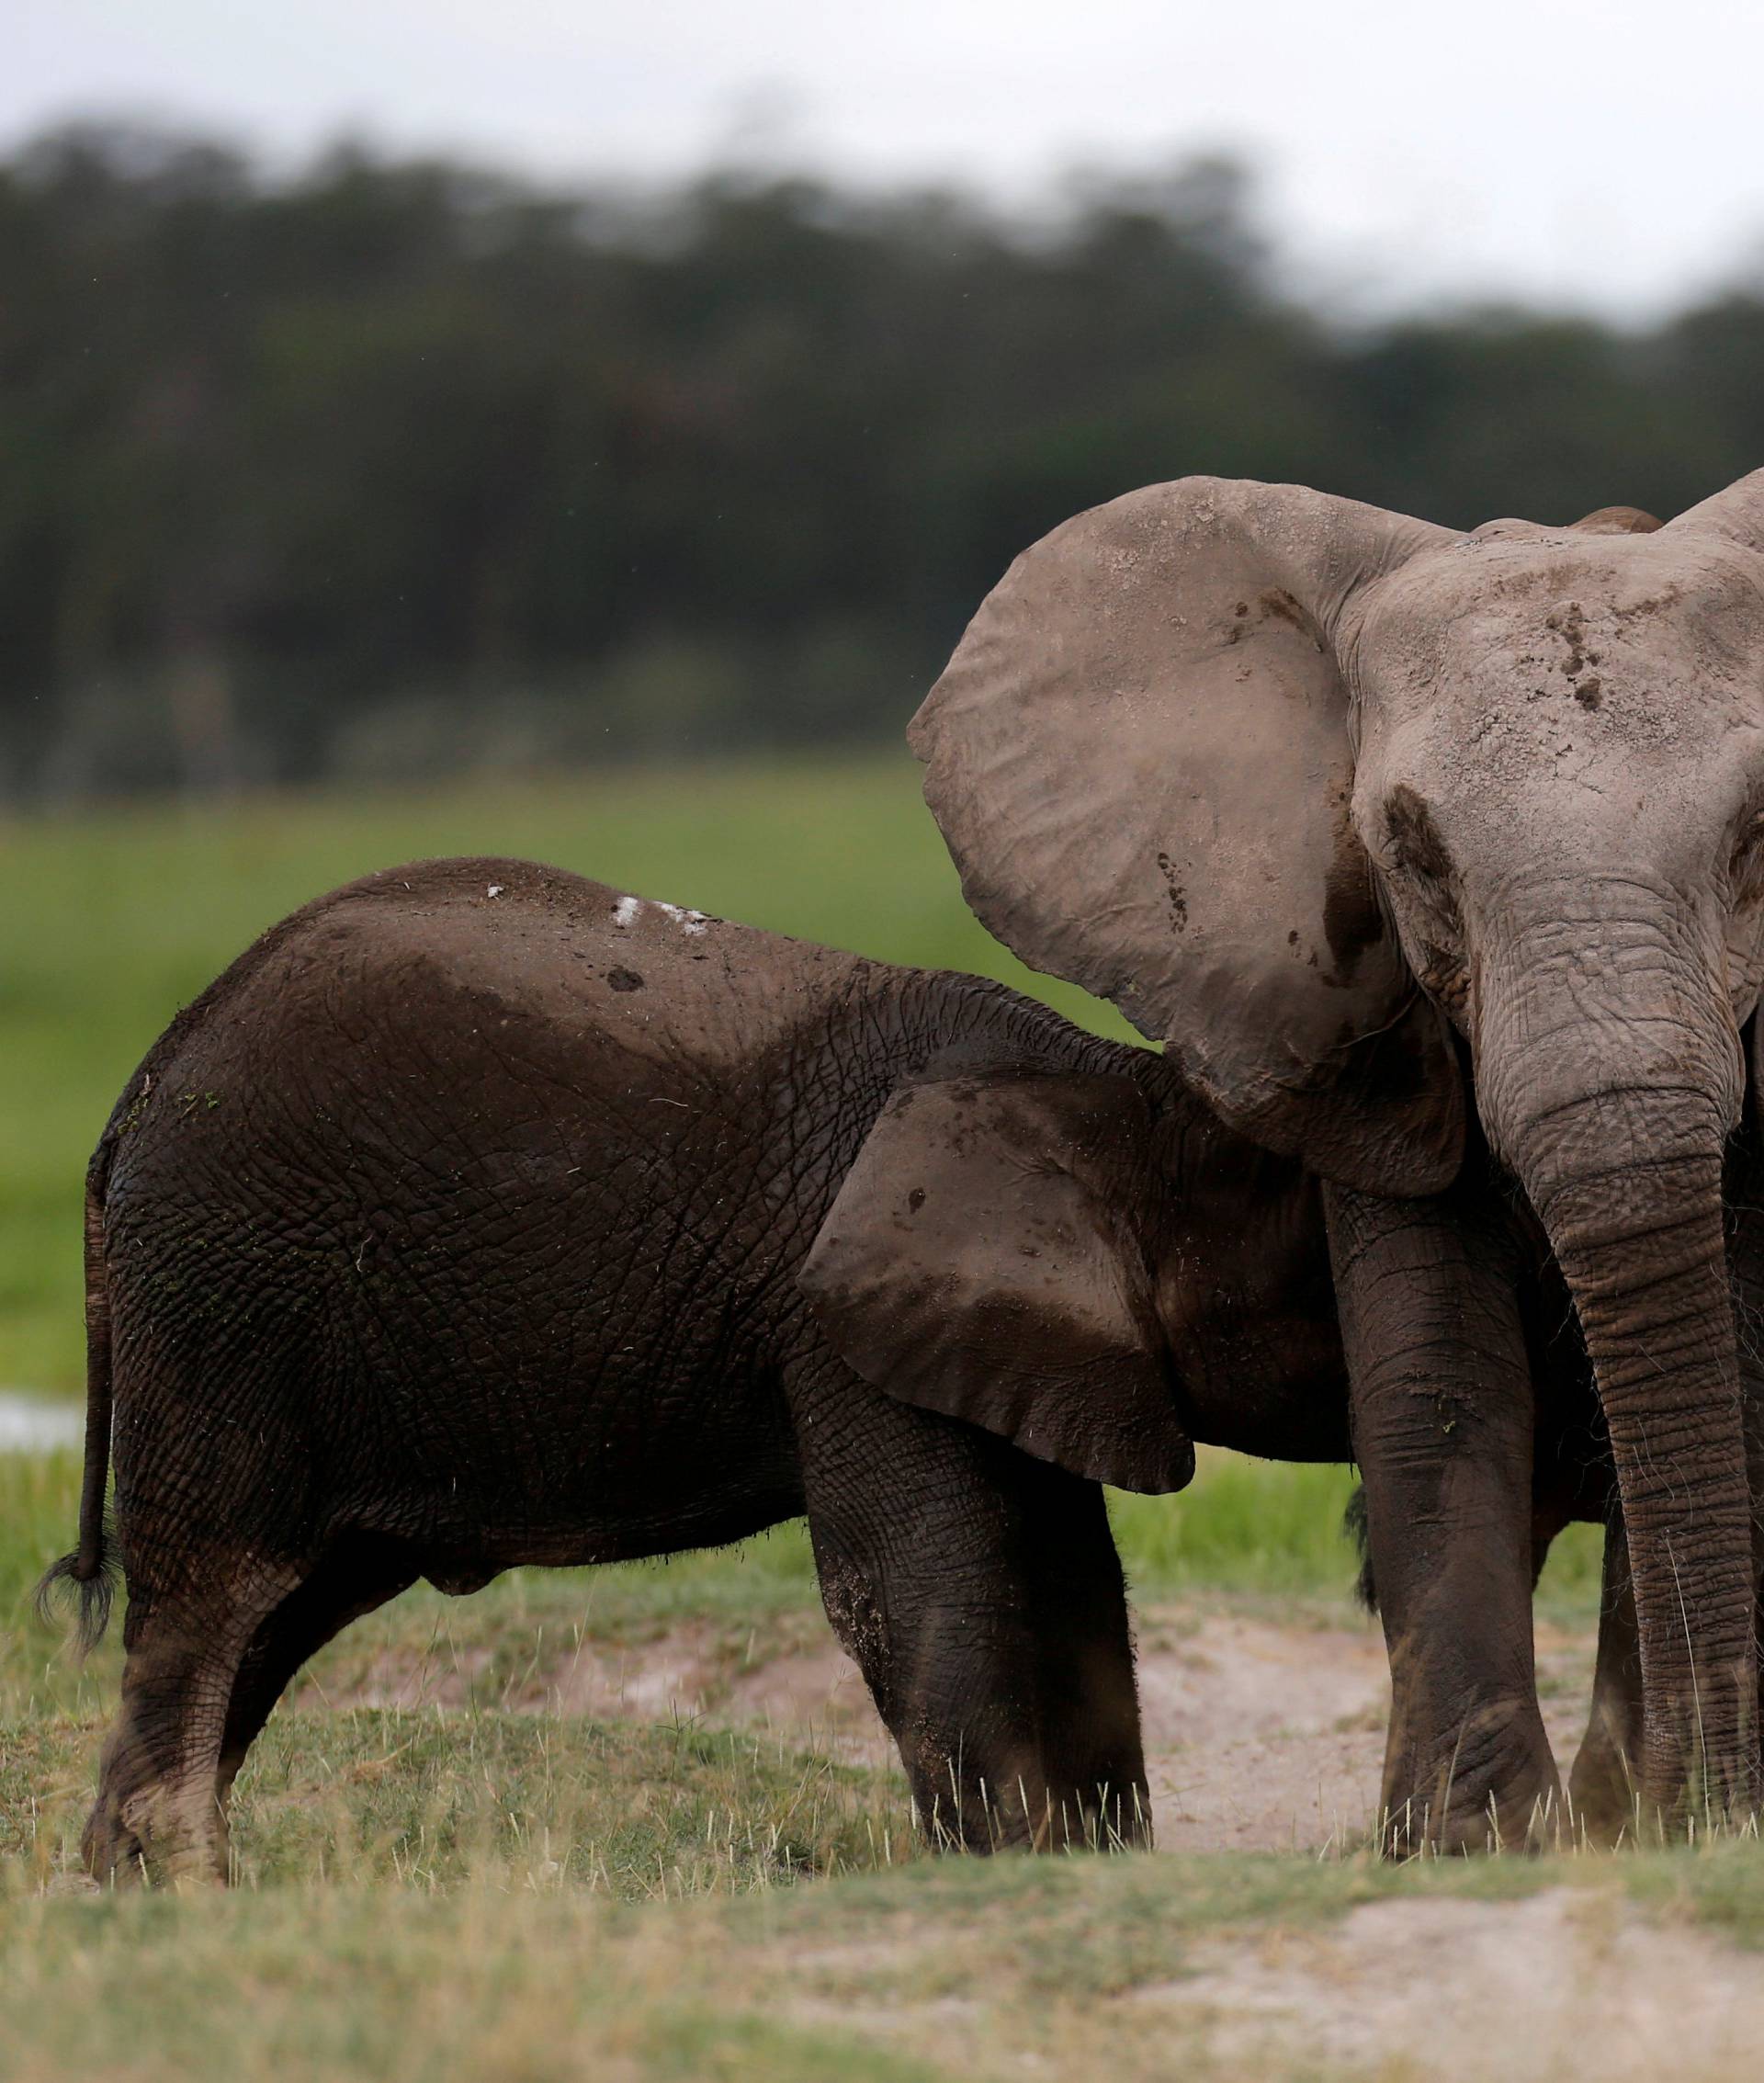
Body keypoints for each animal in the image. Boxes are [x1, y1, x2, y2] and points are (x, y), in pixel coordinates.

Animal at [41, 854, 1340, 1883]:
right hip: (225, 1305)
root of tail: (139, 1089)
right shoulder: (842, 1322)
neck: (1113, 1090)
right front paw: (1010, 1872)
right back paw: (183, 1896)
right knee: (216, 1600)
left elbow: (1070, 1579)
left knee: (283, 1613)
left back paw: (129, 1887)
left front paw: (1090, 1867)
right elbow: (923, 1581)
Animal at [916, 469, 1764, 1841]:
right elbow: (1440, 1376)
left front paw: (1636, 1823)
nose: (1706, 1800)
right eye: (1410, 850)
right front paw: (1472, 1839)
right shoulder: (1356, 1029)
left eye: (1755, 836)